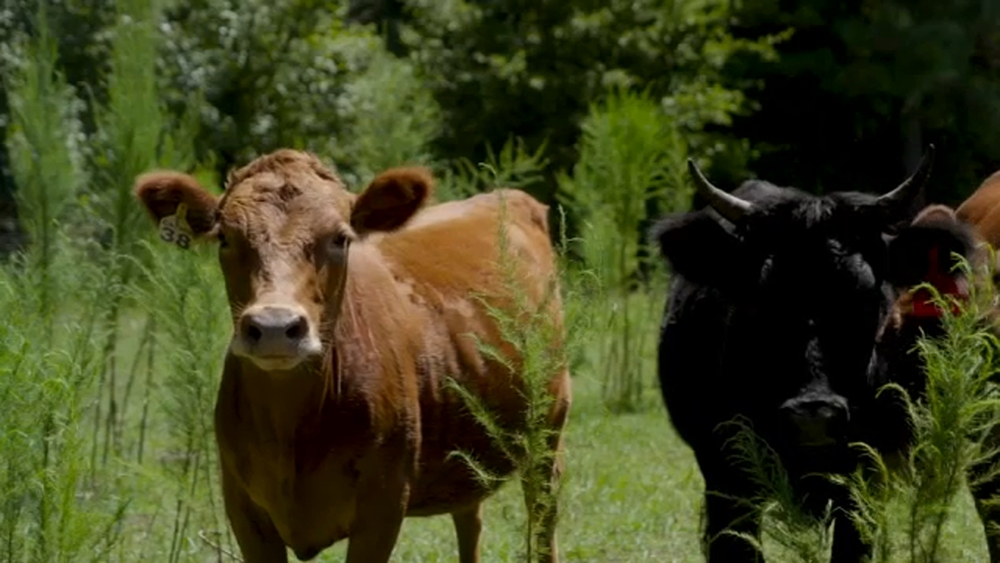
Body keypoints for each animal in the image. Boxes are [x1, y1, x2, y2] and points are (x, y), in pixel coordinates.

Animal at [133, 149, 572, 563]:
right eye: (225, 237)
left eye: (340, 239)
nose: (275, 327)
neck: (291, 433)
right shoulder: (243, 509)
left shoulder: (383, 506)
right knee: (470, 519)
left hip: (548, 437)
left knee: (543, 524)